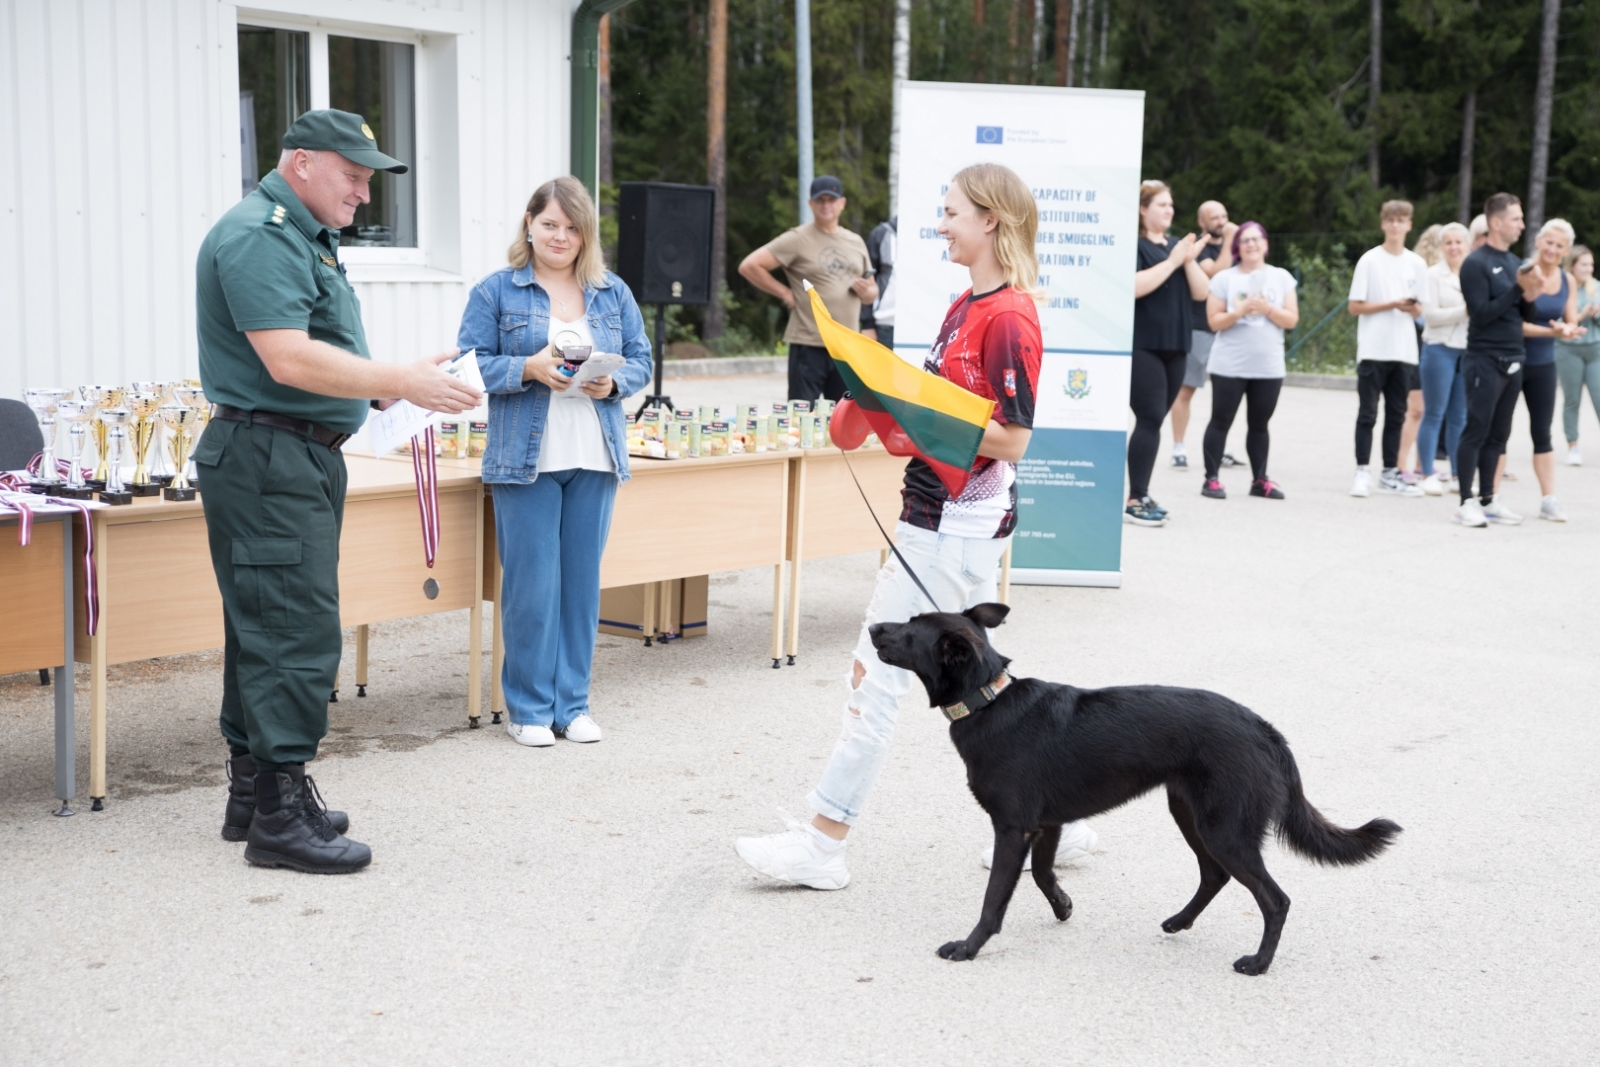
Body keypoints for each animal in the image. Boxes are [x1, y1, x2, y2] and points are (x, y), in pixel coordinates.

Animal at [870, 604, 1408, 972]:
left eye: (911, 627)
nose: (873, 627)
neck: (988, 699)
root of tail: (1265, 729)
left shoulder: (1013, 827)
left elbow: (994, 899)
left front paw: (969, 946)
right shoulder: (1046, 825)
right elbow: (1042, 875)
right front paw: (1063, 905)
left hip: (1224, 828)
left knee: (1274, 899)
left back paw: (1257, 963)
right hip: (1191, 815)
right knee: (1215, 876)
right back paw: (1179, 922)